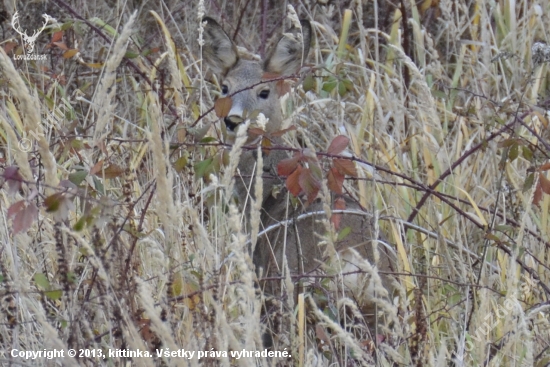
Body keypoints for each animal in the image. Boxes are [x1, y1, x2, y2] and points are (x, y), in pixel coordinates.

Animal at [203, 15, 396, 342]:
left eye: (264, 91)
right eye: (225, 87)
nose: (233, 120)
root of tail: (355, 261)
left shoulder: (264, 274)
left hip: (297, 289)